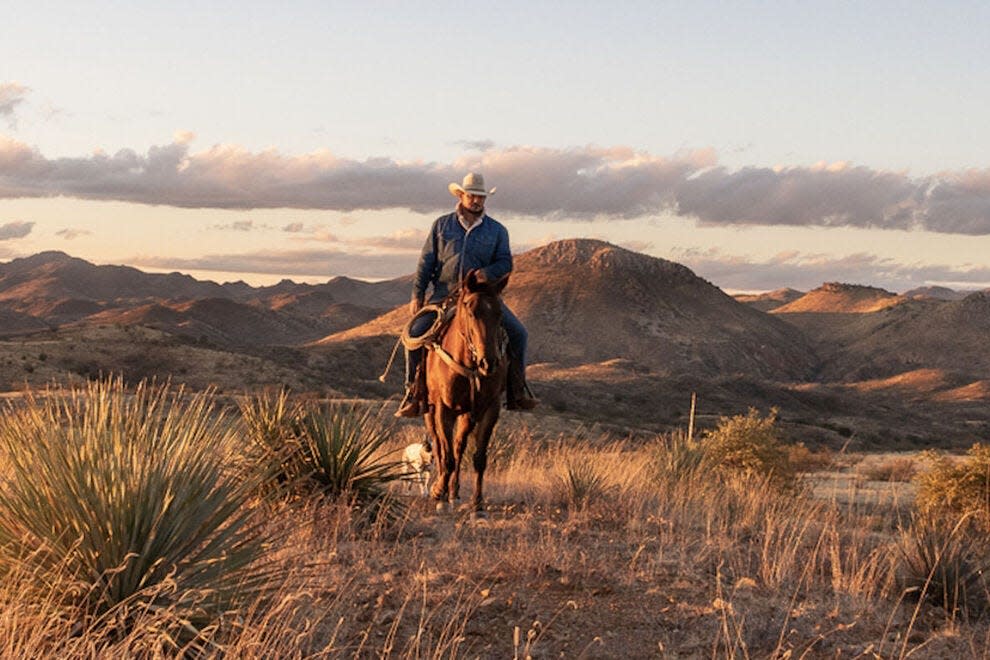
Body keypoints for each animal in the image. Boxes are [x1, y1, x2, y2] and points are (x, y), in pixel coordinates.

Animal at [422, 270, 508, 516]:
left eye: (499, 314)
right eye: (471, 311)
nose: (488, 363)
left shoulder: (489, 409)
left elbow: (478, 458)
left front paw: (477, 503)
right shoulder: (443, 409)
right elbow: (447, 456)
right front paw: (438, 494)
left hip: (467, 415)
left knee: (459, 447)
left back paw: (455, 492)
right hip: (430, 411)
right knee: (440, 447)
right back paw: (442, 489)